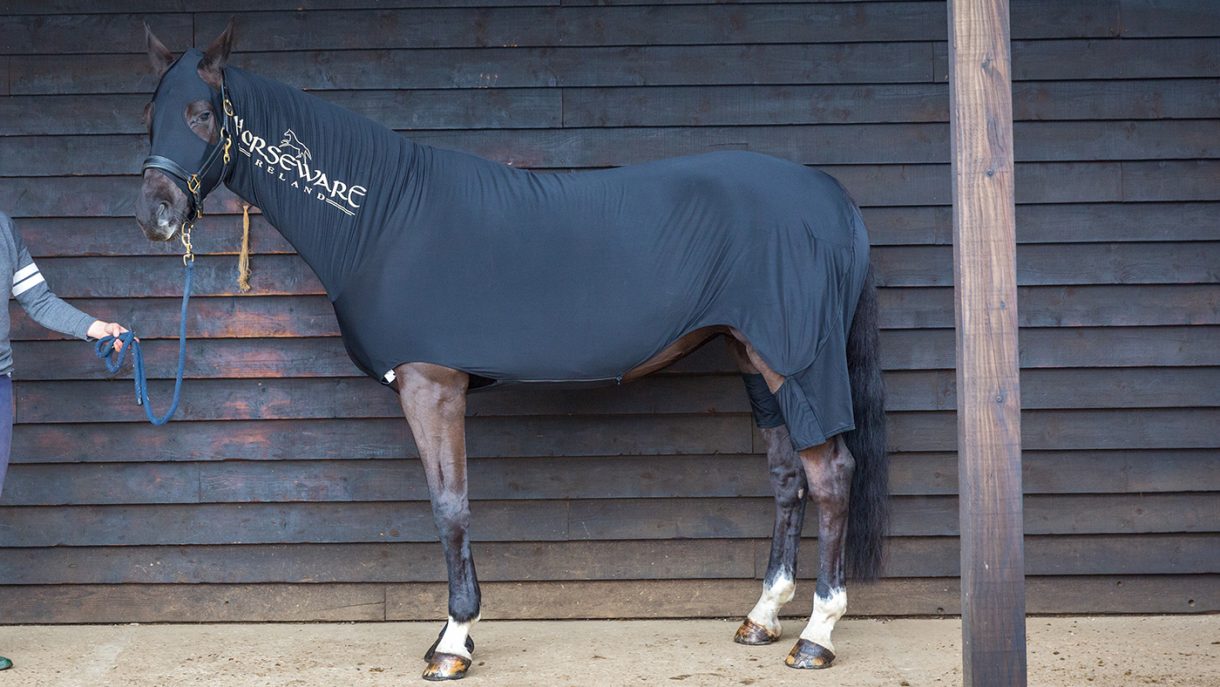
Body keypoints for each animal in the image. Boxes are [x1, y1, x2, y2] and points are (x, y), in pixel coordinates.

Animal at [134, 20, 889, 682]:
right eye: (149, 113)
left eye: (202, 115)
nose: (154, 215)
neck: (383, 216)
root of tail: (830, 196)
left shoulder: (432, 384)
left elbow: (450, 506)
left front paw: (453, 643)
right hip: (755, 358)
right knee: (787, 475)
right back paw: (761, 617)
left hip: (796, 360)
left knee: (831, 474)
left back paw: (817, 636)